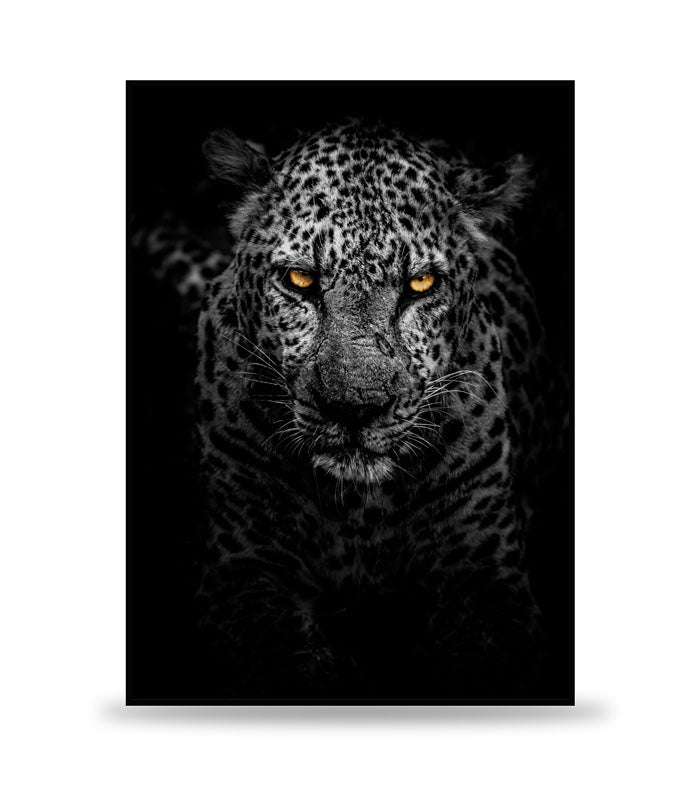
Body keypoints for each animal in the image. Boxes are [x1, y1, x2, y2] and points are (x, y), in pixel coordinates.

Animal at [137, 119, 568, 699]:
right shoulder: (243, 572)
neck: (361, 509)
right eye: (300, 280)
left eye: (420, 284)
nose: (355, 409)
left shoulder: (487, 581)